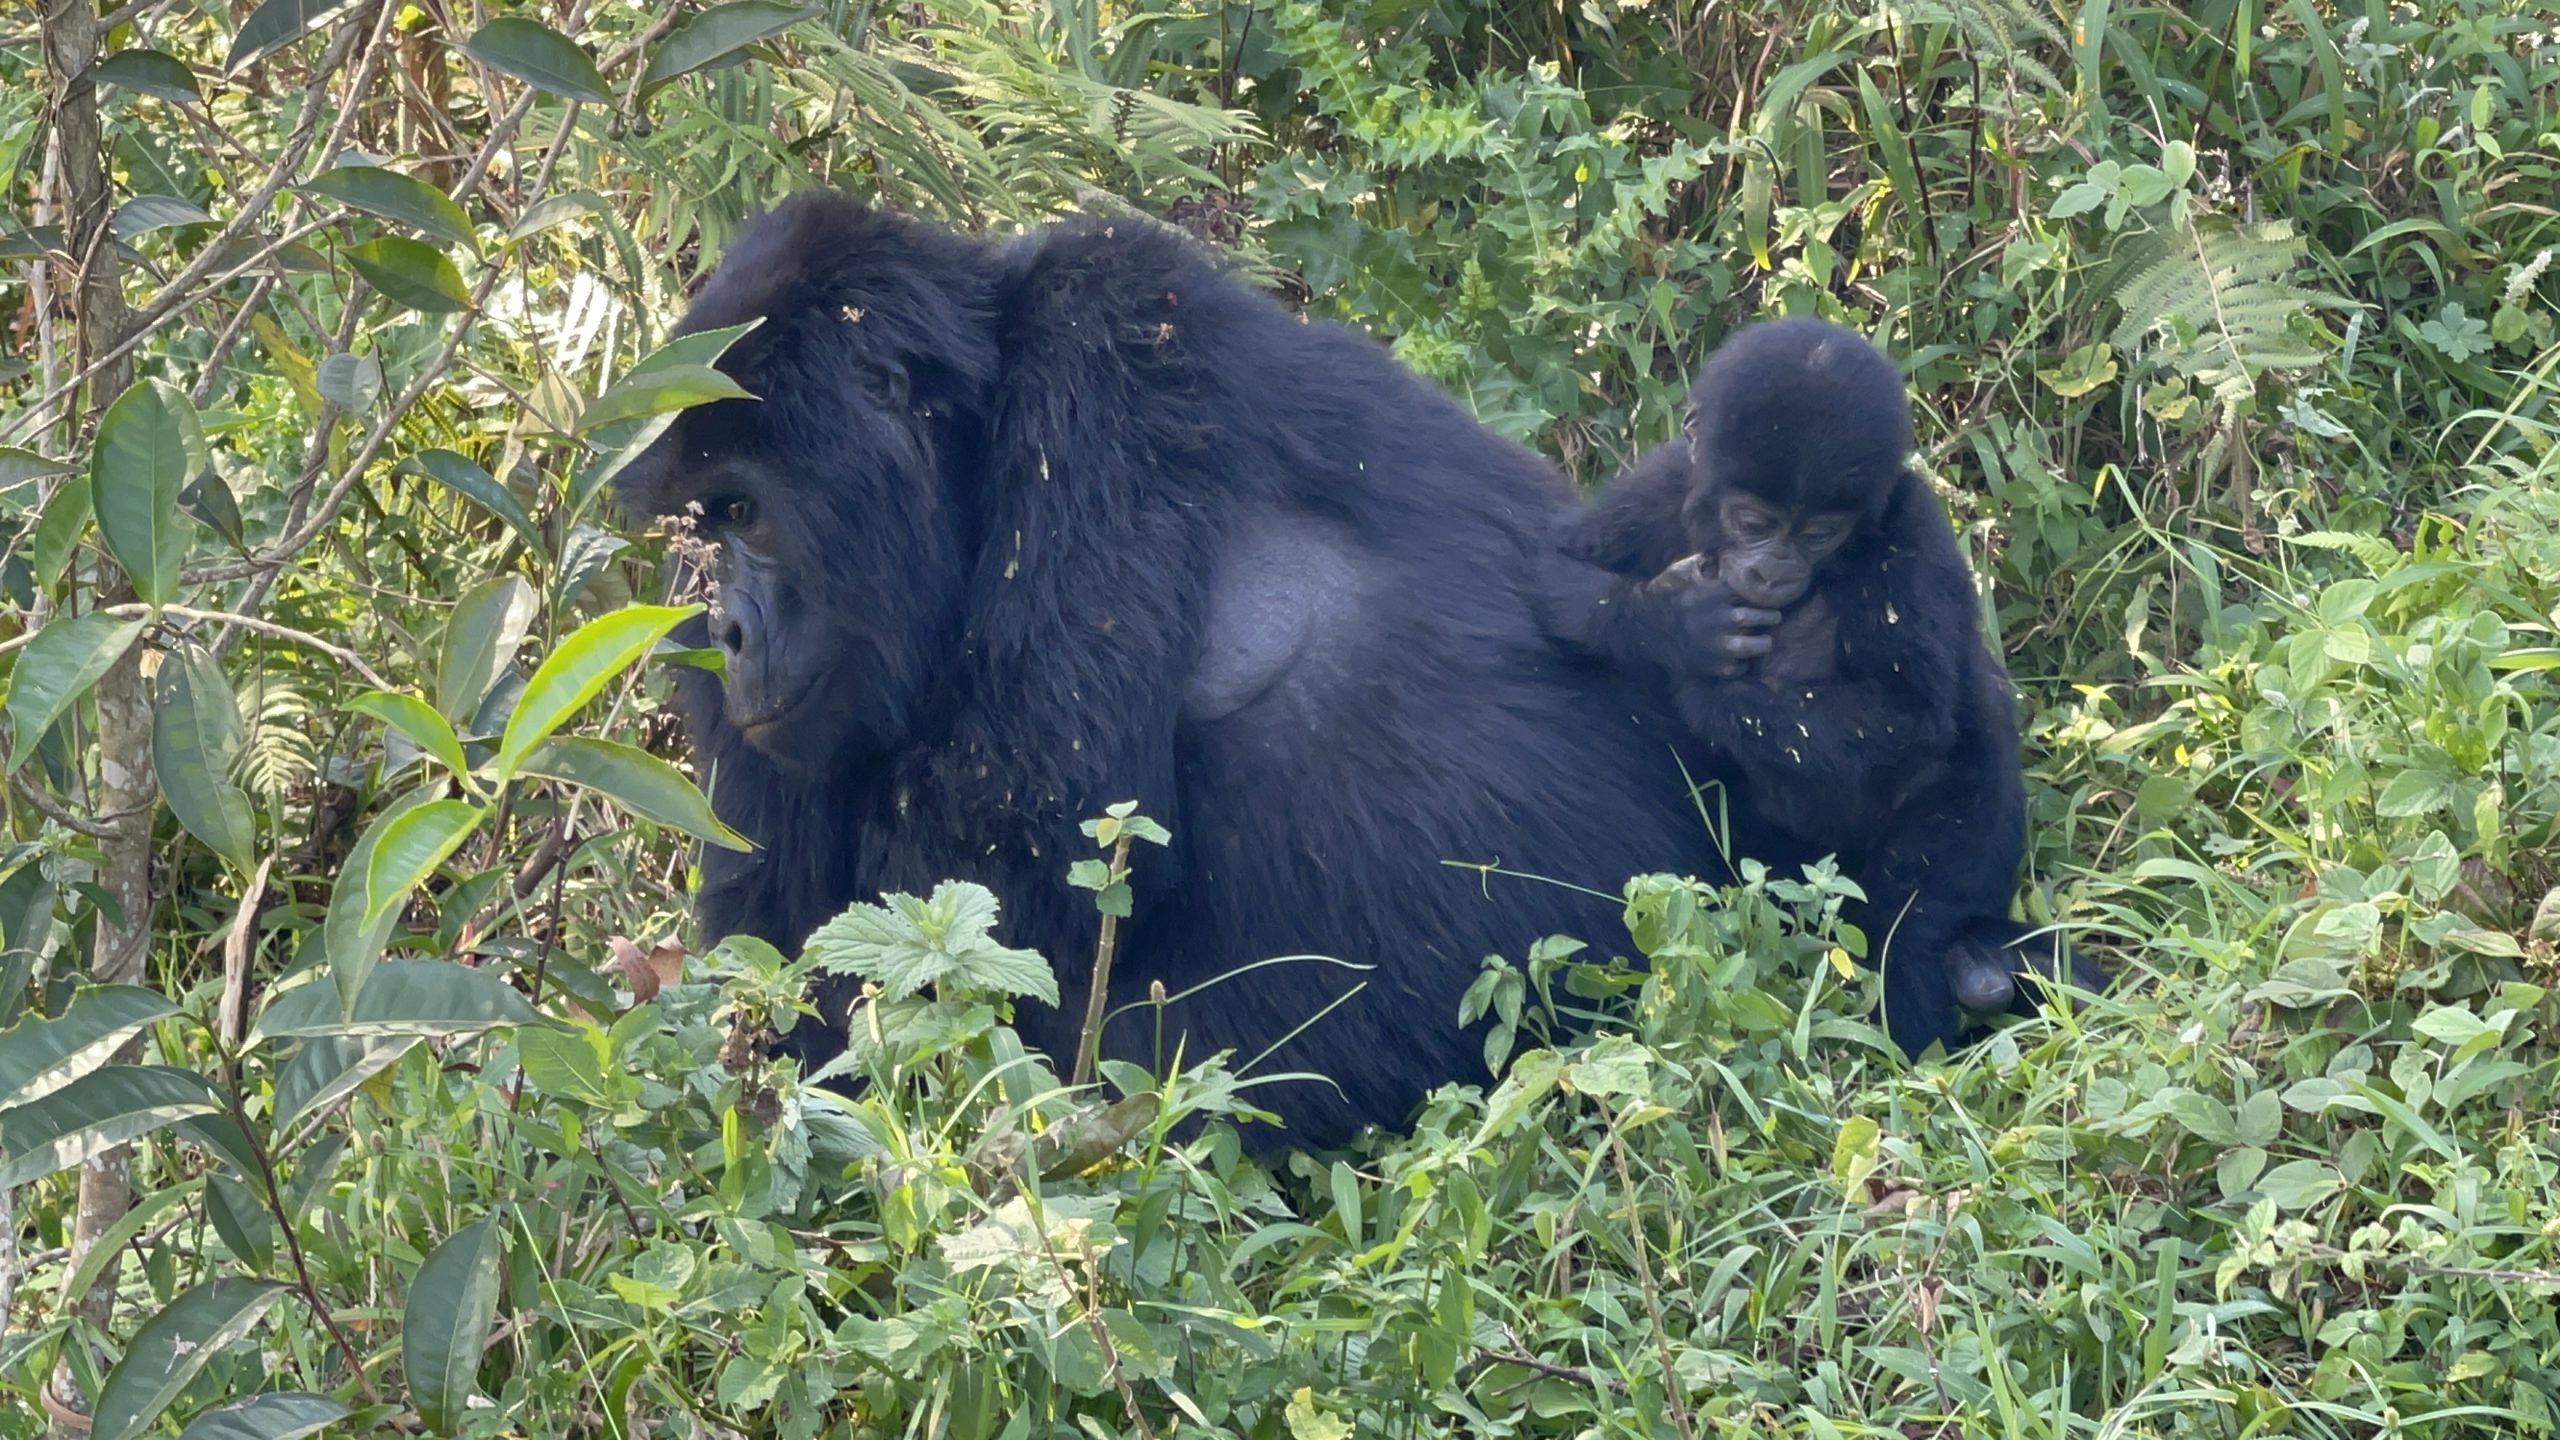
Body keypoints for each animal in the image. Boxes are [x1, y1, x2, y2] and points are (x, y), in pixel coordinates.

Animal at [609, 196, 1710, 1147]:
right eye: (698, 527)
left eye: (744, 511)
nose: (721, 630)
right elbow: (787, 948)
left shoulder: (1099, 363)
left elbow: (1014, 864)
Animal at [1525, 316, 2088, 1055]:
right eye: (1755, 522)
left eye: (1820, 533)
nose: (1770, 572)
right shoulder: (1663, 481)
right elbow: (1554, 571)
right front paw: (1677, 624)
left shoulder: (1911, 527)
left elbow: (1905, 714)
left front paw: (1703, 688)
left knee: (1914, 917)